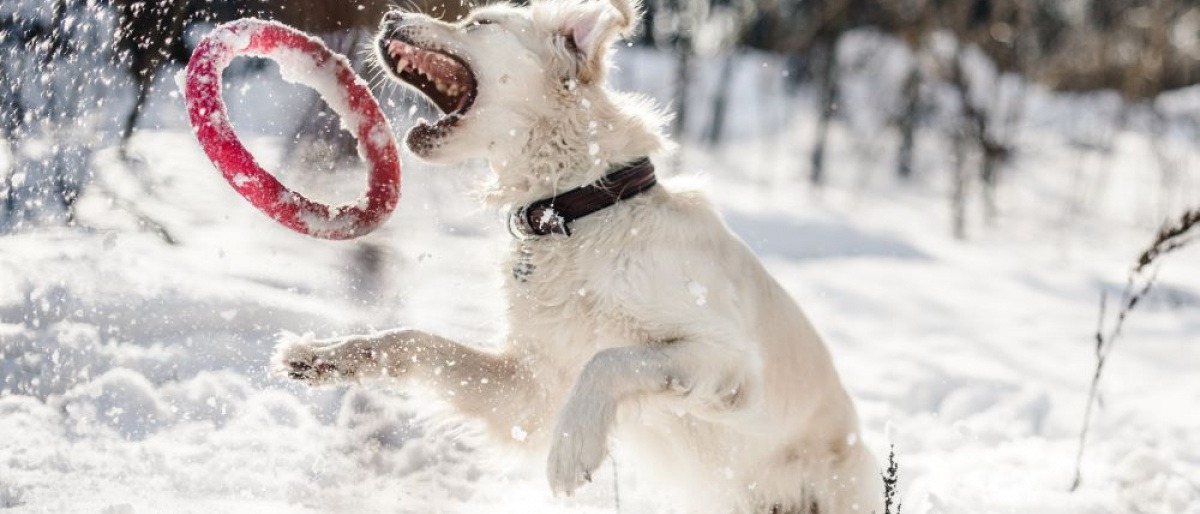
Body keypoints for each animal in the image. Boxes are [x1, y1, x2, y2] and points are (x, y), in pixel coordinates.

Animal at [274, 2, 883, 511]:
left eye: (479, 23)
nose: (390, 15)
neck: (579, 210)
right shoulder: (532, 389)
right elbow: (413, 339)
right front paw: (326, 355)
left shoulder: (731, 362)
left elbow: (611, 358)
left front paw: (572, 449)